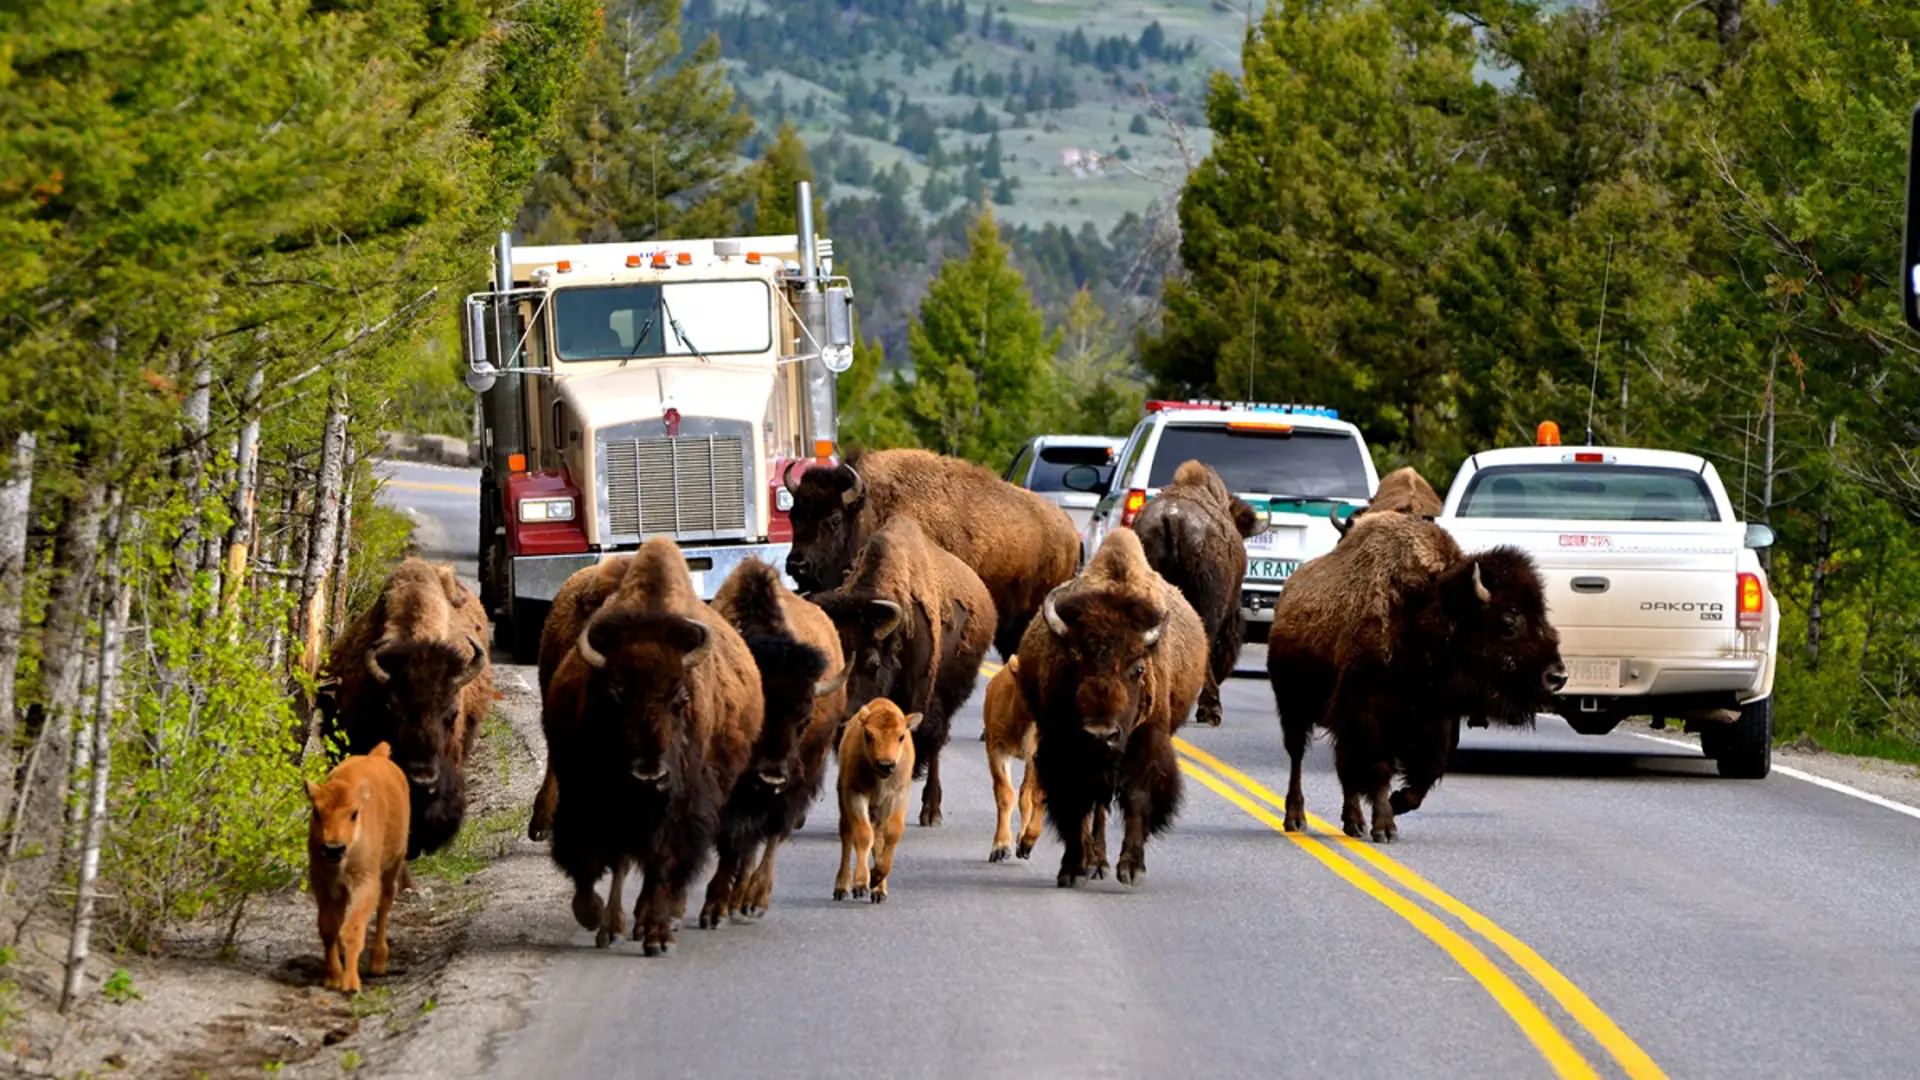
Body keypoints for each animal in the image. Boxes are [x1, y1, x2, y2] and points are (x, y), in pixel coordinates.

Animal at [1267, 513, 1566, 842]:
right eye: (1509, 620)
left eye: (1543, 616)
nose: (1557, 676)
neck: (1422, 614)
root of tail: (1288, 593)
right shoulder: (1370, 715)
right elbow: (1379, 768)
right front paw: (1385, 826)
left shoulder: (1435, 720)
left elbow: (1426, 773)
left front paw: (1397, 803)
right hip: (1293, 706)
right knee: (1298, 756)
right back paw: (1296, 818)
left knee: (1344, 766)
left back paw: (1354, 822)